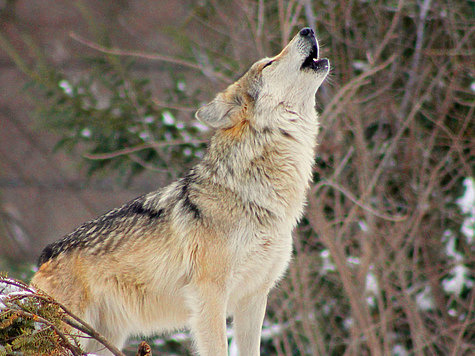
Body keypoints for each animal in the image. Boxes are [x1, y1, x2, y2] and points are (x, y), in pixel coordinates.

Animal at [29, 26, 330, 354]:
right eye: (268, 64)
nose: (307, 29)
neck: (253, 193)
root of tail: (44, 257)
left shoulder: (253, 299)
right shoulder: (210, 295)